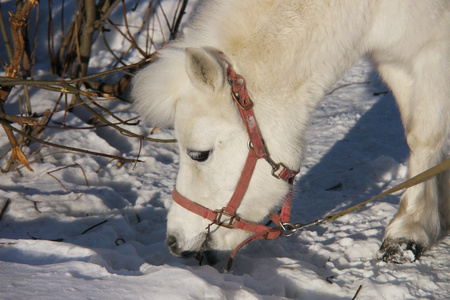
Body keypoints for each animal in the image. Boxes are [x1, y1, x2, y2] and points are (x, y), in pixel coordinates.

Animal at [131, 0, 450, 264]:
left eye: (199, 154)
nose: (173, 241)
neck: (368, 9)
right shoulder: (395, 59)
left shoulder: (432, 51)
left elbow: (423, 137)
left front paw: (409, 230)